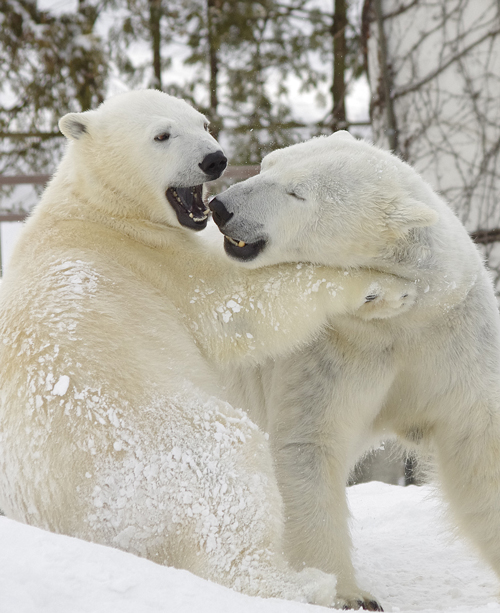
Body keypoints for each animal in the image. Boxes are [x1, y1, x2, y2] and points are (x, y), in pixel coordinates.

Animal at [0, 91, 416, 608]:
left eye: (203, 122)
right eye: (162, 134)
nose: (215, 159)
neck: (98, 213)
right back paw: (305, 583)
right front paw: (384, 287)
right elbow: (240, 306)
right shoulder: (159, 265)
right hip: (160, 456)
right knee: (231, 480)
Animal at [210, 131, 500, 608]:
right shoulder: (333, 348)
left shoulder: (453, 342)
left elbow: (478, 449)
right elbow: (310, 444)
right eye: (268, 165)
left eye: (297, 193)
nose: (220, 207)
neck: (402, 320)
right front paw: (349, 595)